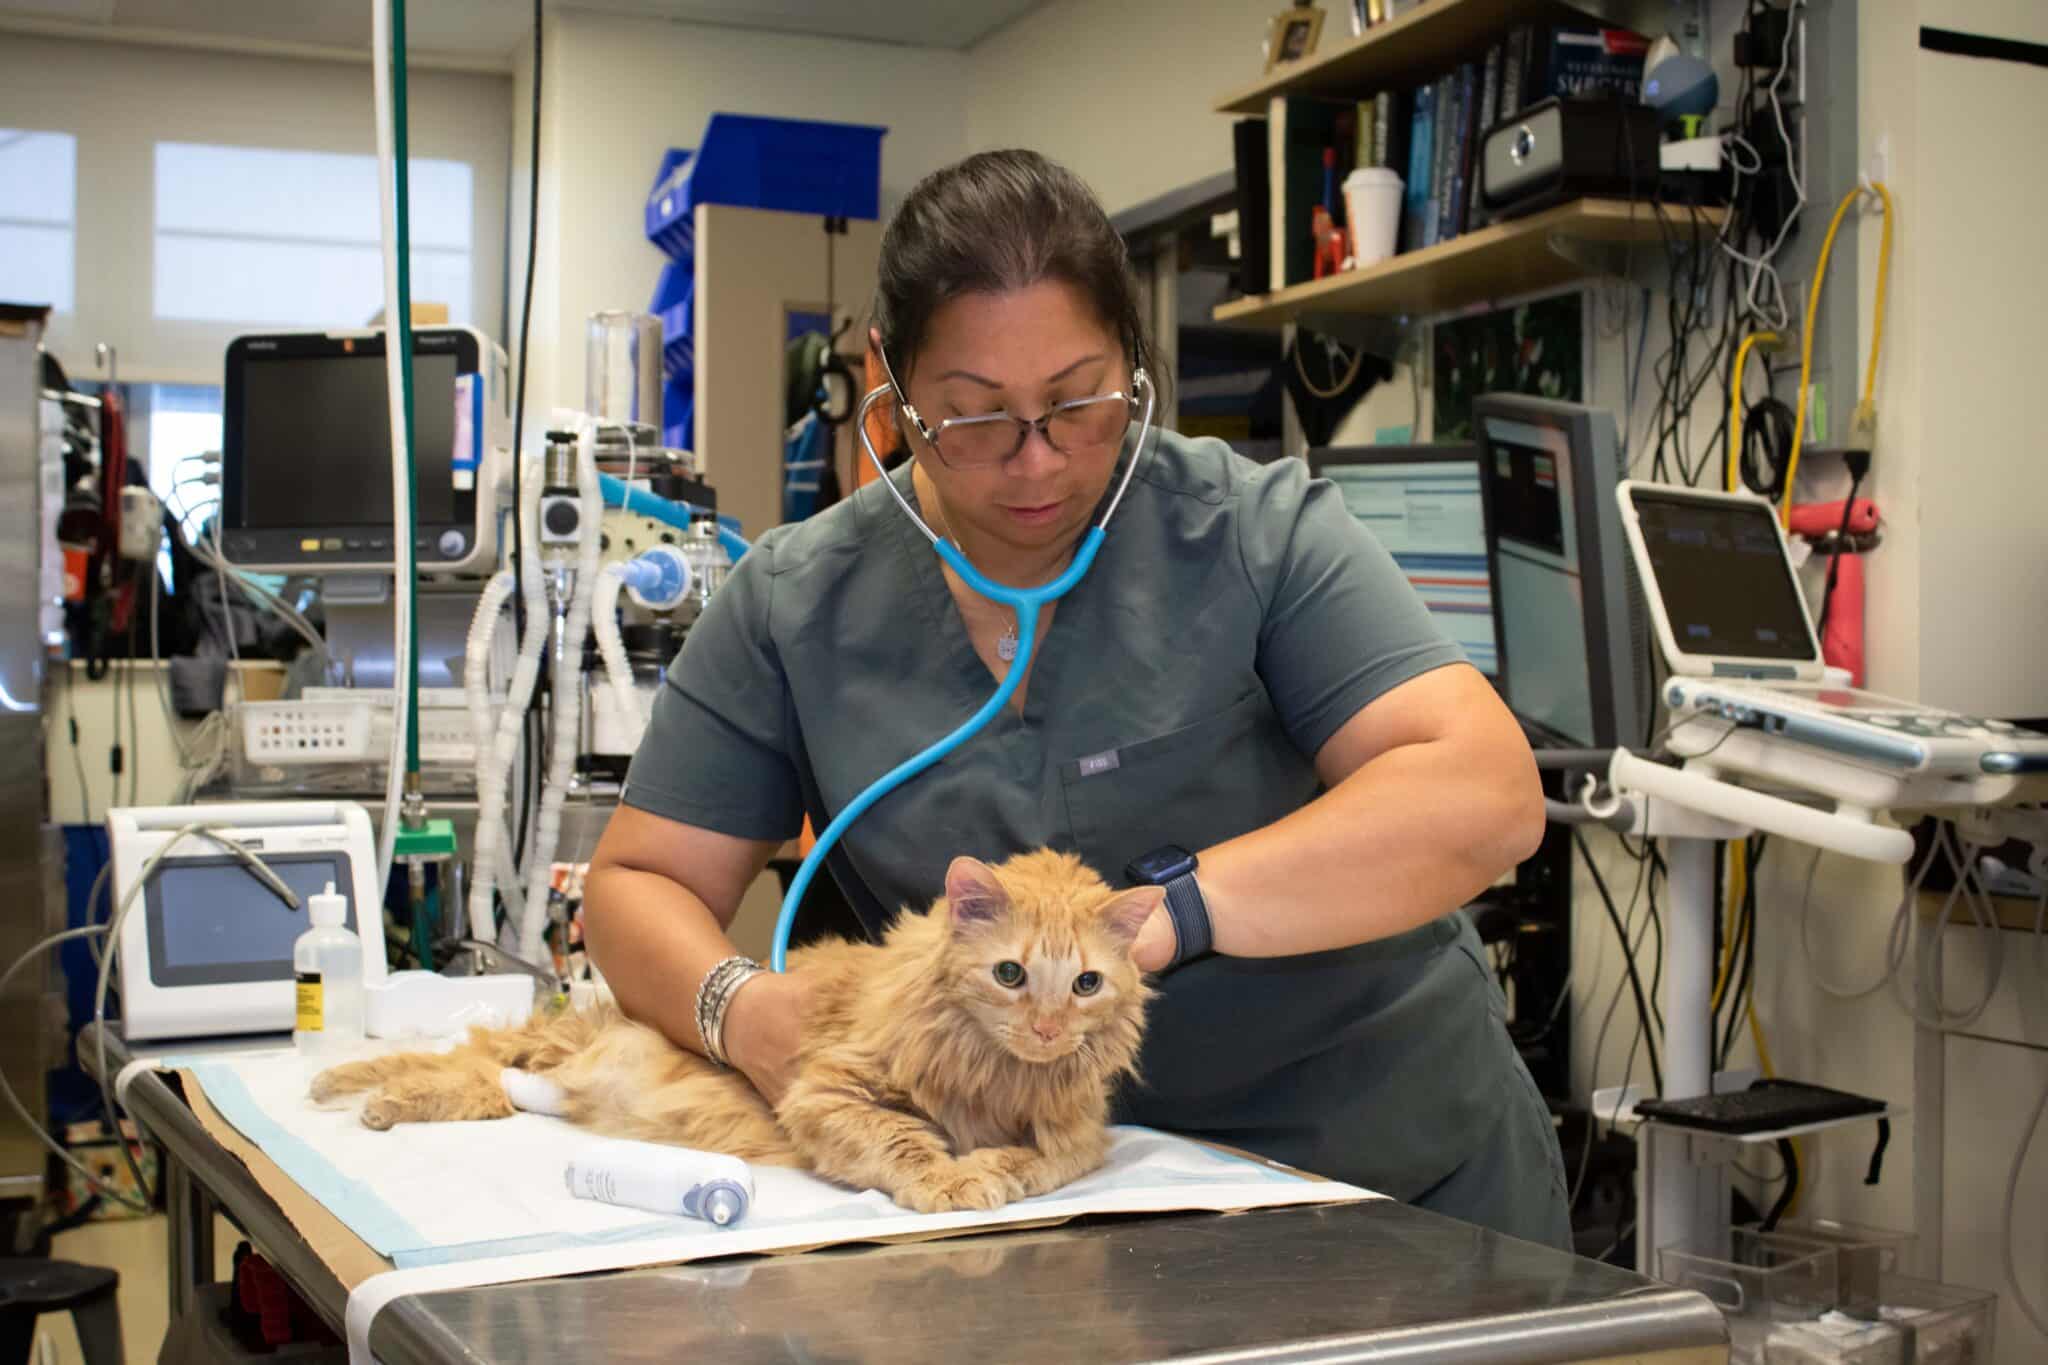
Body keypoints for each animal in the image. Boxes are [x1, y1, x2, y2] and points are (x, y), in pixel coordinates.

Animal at [309, 847, 1163, 1211]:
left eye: (1086, 984)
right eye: (1011, 974)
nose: (1048, 1031)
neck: (999, 1071)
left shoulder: (1076, 1132)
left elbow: (1041, 1161)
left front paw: (993, 1167)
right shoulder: (828, 1091)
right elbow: (902, 1138)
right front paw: (949, 1178)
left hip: (529, 1078)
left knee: (476, 1083)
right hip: (546, 1044)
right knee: (457, 1061)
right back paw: (339, 1083)